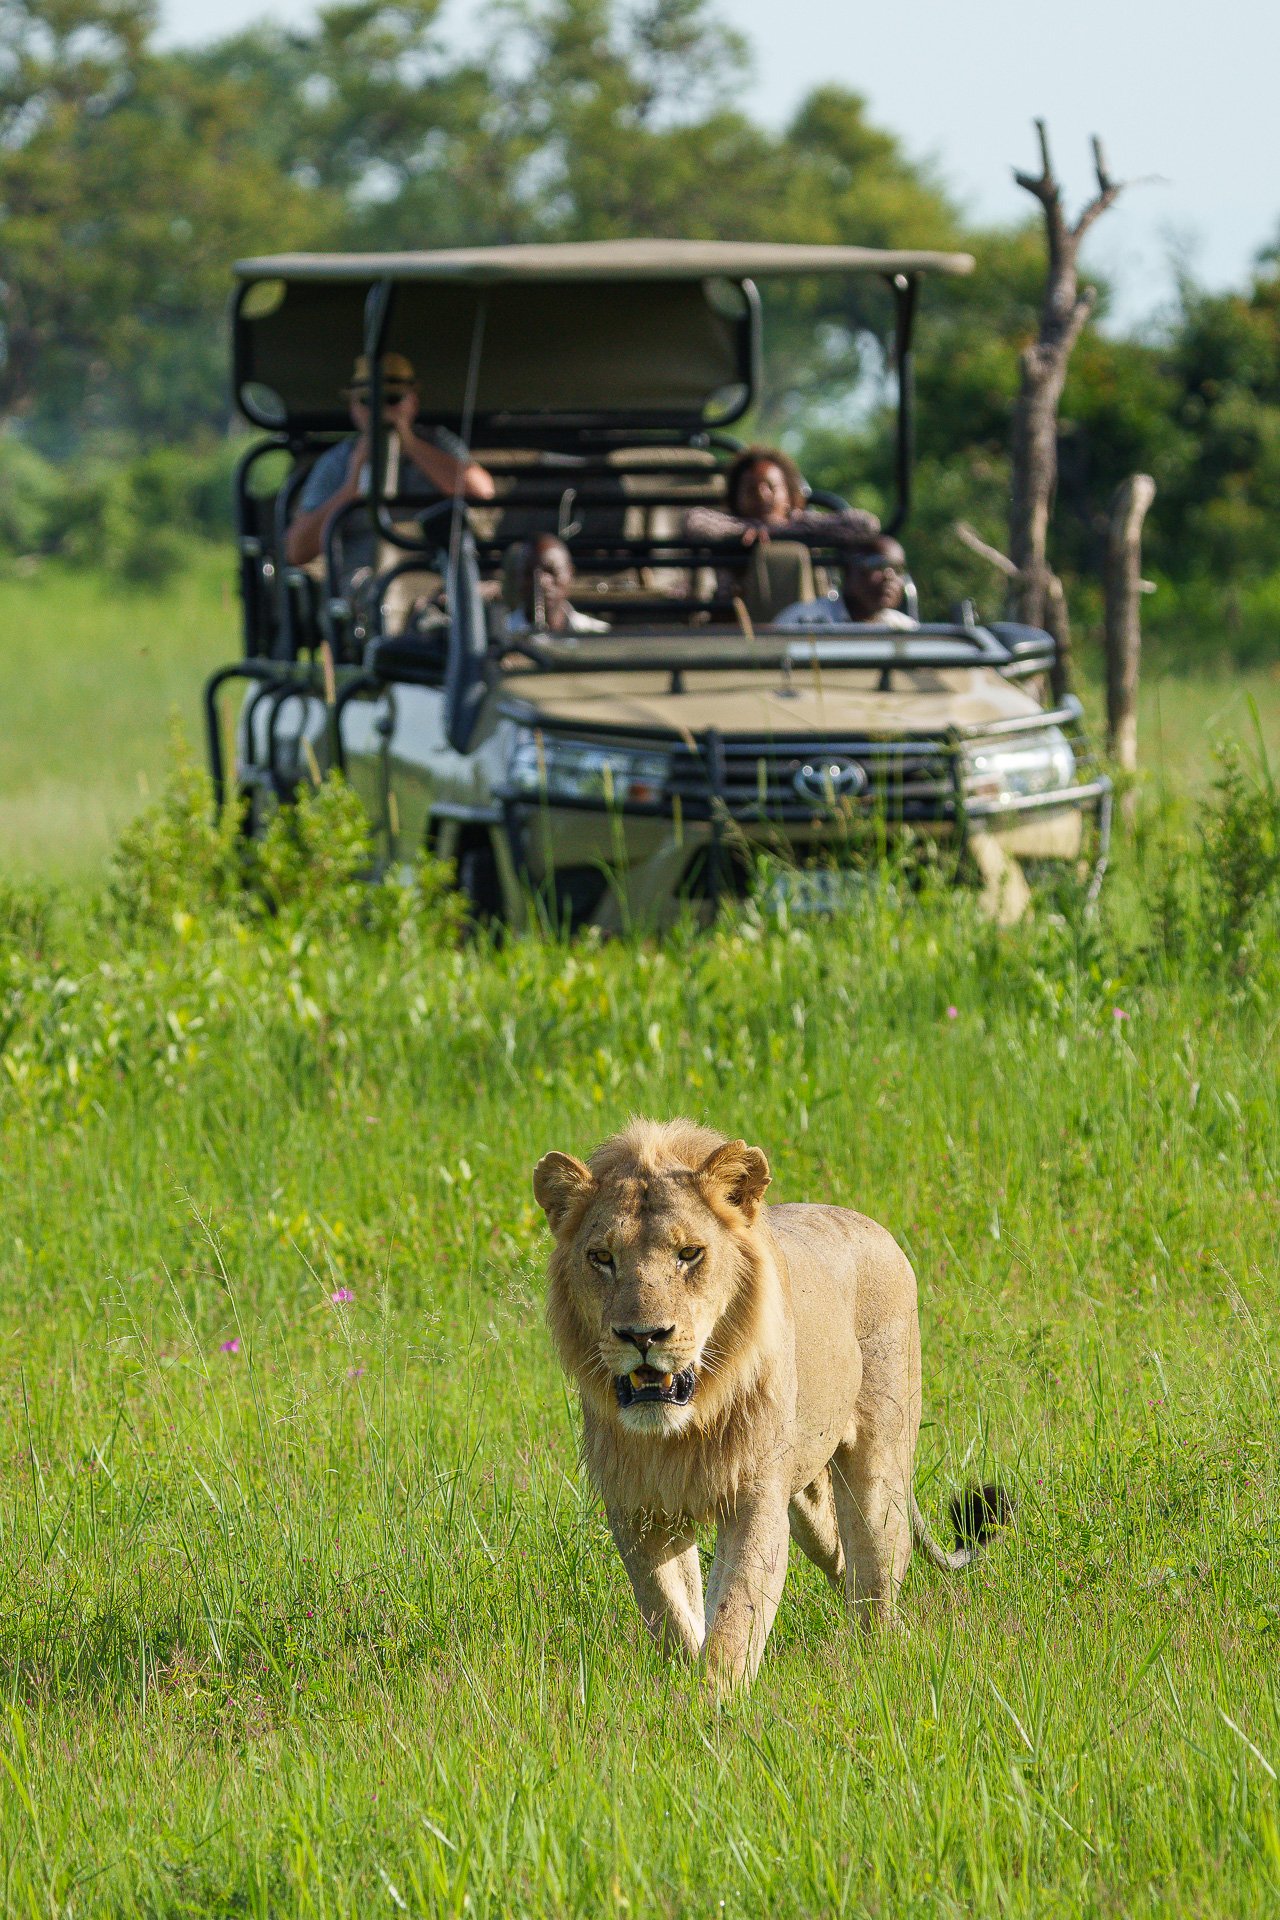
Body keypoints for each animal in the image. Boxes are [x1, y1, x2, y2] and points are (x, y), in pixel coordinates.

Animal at [533, 1117, 1007, 1688]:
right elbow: (670, 1610)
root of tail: (875, 1228)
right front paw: (683, 1683)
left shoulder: (755, 1499)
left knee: (877, 1582)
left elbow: (735, 1614)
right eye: (601, 1258)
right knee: (844, 1563)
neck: (684, 1426)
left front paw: (715, 1698)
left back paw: (876, 1664)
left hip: (878, 1472)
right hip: (806, 1500)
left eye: (689, 1254)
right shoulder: (639, 1508)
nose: (642, 1336)